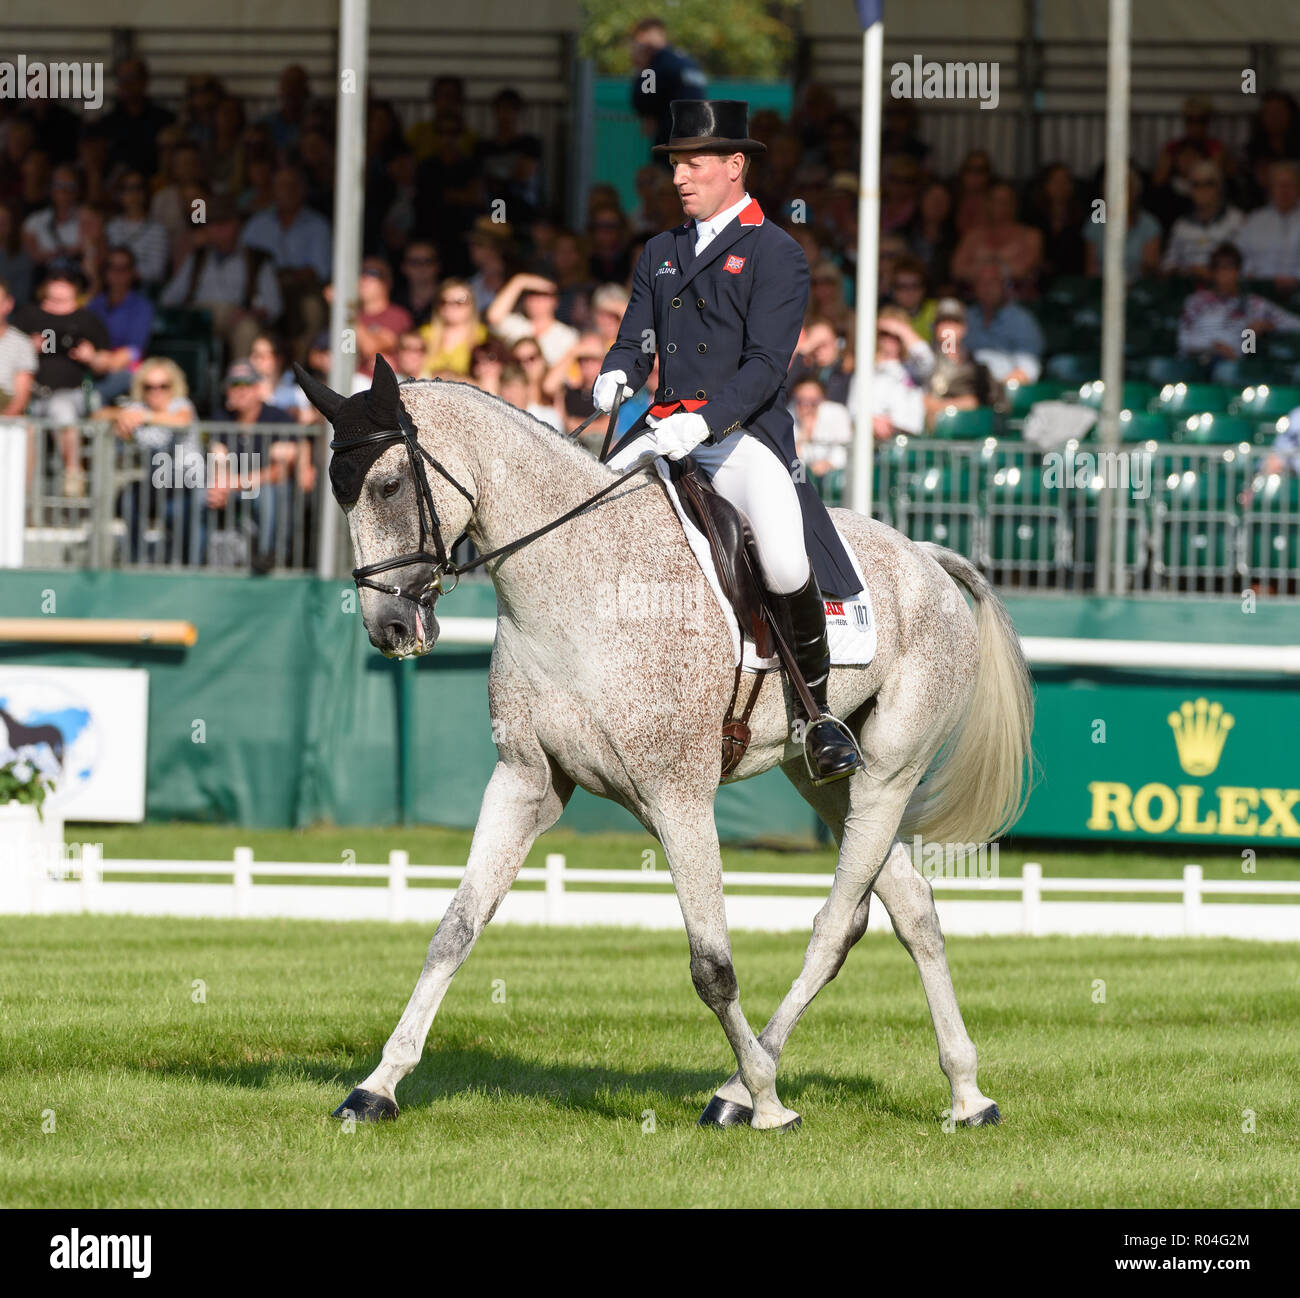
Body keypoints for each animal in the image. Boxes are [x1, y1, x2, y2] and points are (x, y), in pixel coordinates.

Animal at [297, 361, 1034, 1134]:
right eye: (339, 491)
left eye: (387, 486)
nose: (387, 626)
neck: (579, 585)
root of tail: (926, 558)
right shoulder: (524, 781)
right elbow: (455, 929)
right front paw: (377, 1086)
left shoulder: (678, 799)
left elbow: (713, 965)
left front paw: (769, 1101)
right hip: (829, 780)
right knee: (908, 908)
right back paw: (965, 1092)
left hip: (890, 772)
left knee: (836, 922)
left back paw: (751, 1090)